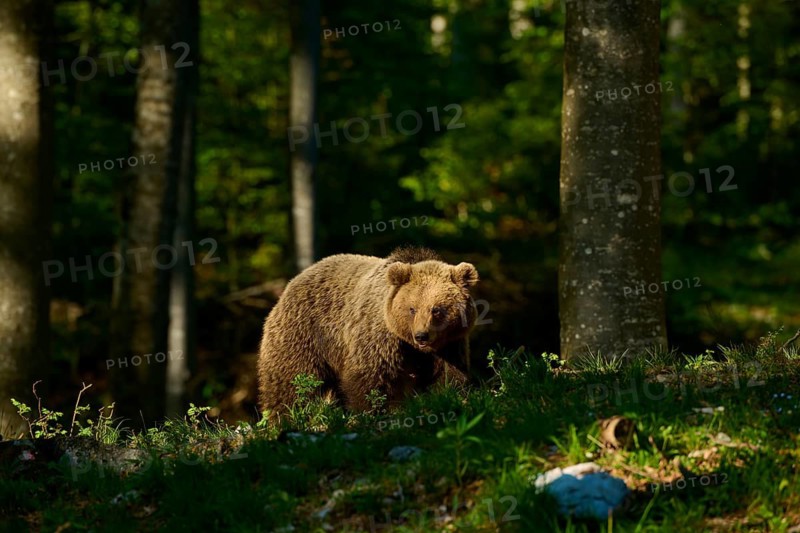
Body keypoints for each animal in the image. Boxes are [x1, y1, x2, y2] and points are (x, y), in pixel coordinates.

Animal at [257, 246, 479, 417]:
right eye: (412, 308)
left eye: (437, 309)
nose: (421, 336)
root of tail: (291, 283)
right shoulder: (380, 337)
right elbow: (369, 377)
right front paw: (370, 412)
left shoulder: (450, 344)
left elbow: (449, 376)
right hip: (305, 333)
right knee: (292, 382)